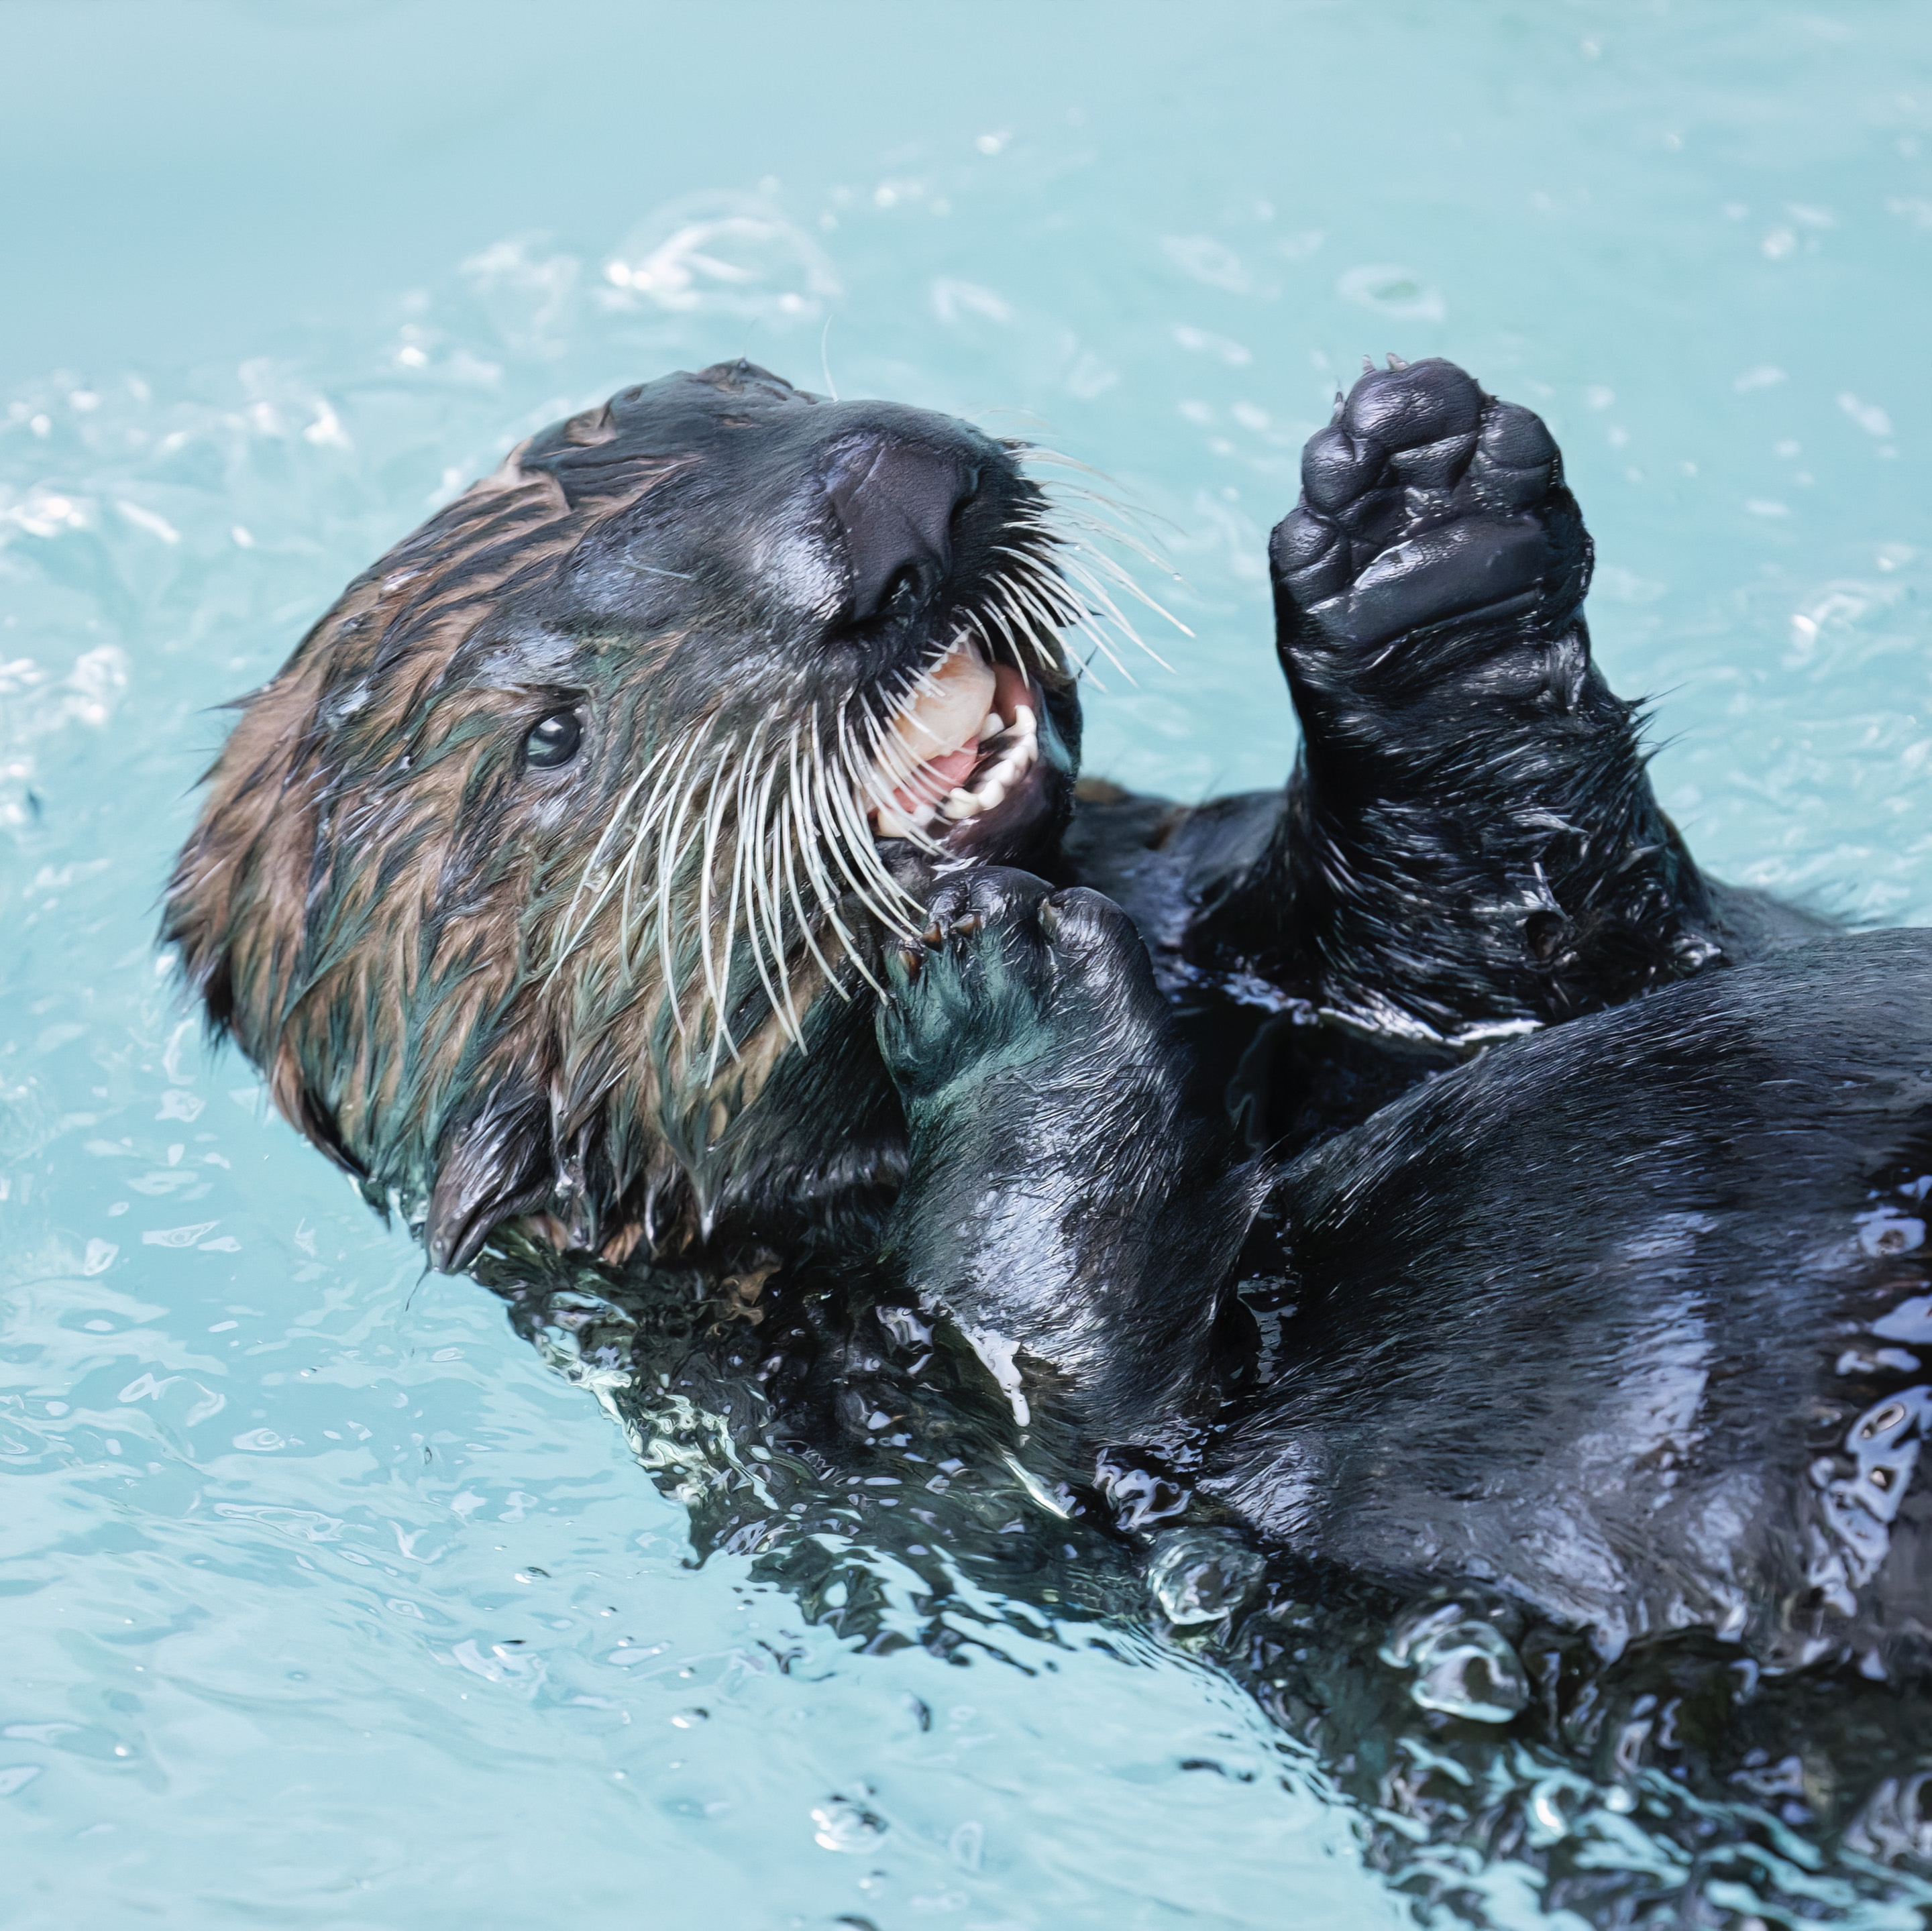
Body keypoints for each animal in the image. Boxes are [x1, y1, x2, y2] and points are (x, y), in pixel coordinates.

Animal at [164, 355, 1930, 1698]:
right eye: (548, 737)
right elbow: (1076, 1391)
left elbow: (1533, 933)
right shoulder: (878, 1462)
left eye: (738, 388)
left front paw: (1417, 539)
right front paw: (1008, 980)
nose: (877, 498)